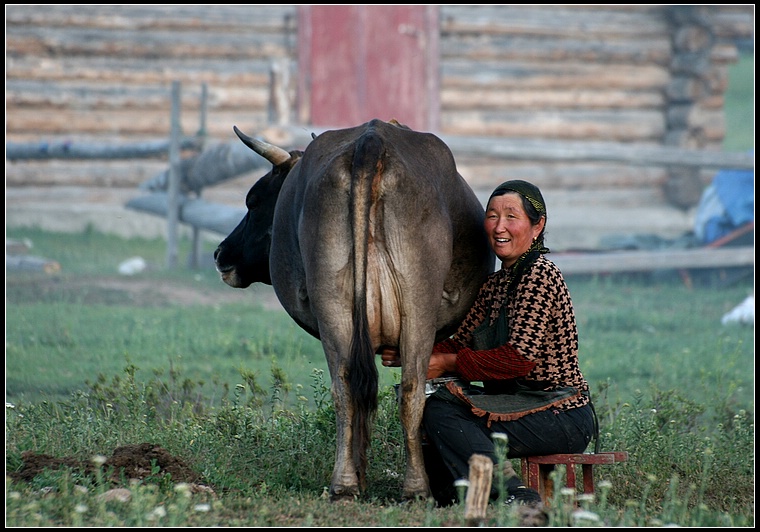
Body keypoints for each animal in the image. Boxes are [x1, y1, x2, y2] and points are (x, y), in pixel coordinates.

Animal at [214, 118, 492, 500]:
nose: (220, 253)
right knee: (398, 389)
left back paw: (355, 483)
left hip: (342, 307)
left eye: (253, 202)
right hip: (407, 308)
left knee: (356, 388)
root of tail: (371, 140)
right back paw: (401, 486)